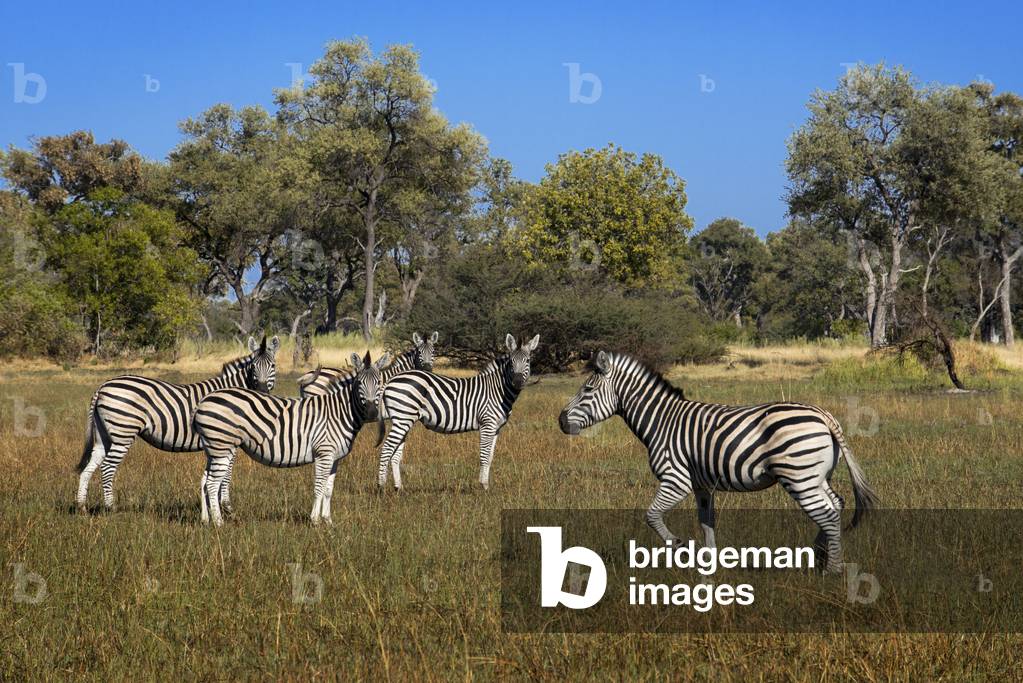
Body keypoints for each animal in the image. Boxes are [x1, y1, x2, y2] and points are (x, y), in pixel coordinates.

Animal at [76, 335, 280, 513]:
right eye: (253, 366)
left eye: (273, 365)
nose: (262, 391)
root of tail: (103, 386)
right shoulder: (229, 440)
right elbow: (227, 473)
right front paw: (227, 507)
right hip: (123, 432)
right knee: (107, 467)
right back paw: (111, 508)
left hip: (104, 435)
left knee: (89, 467)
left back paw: (82, 507)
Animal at [192, 351, 390, 526]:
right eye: (359, 383)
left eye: (379, 382)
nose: (372, 413)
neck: (338, 412)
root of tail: (204, 400)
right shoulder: (324, 453)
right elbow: (319, 487)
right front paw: (315, 521)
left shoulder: (334, 458)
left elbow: (328, 489)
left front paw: (328, 521)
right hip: (222, 446)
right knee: (212, 483)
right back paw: (219, 523)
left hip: (214, 449)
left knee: (205, 481)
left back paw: (206, 520)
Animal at [378, 333, 539, 491]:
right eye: (511, 362)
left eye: (528, 360)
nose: (517, 382)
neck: (497, 390)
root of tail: (391, 380)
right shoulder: (487, 424)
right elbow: (484, 455)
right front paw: (483, 486)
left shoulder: (496, 428)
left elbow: (490, 456)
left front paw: (486, 485)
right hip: (403, 418)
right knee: (387, 448)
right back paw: (381, 487)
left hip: (403, 419)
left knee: (395, 453)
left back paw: (398, 488)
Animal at [558, 351, 879, 573]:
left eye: (587, 390)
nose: (560, 421)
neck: (661, 422)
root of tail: (823, 414)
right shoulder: (702, 486)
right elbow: (706, 523)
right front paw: (710, 564)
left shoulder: (676, 479)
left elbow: (651, 516)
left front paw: (678, 546)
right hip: (816, 476)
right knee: (835, 504)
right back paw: (818, 555)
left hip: (799, 476)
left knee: (827, 513)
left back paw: (831, 568)